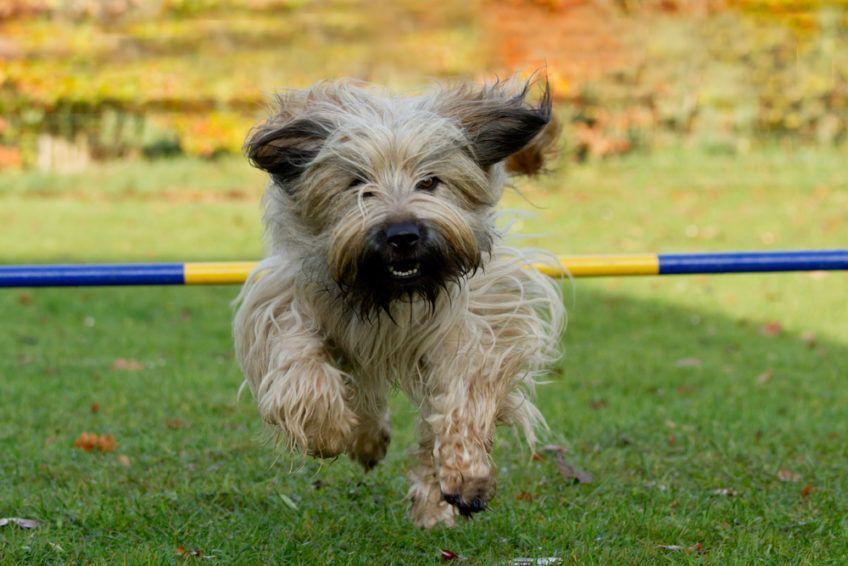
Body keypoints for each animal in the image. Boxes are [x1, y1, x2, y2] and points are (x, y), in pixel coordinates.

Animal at [234, 77, 564, 532]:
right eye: (357, 182)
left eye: (430, 181)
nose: (403, 235)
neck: (393, 292)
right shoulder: (288, 298)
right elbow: (298, 362)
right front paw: (328, 429)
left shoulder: (480, 317)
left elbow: (465, 389)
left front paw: (464, 474)